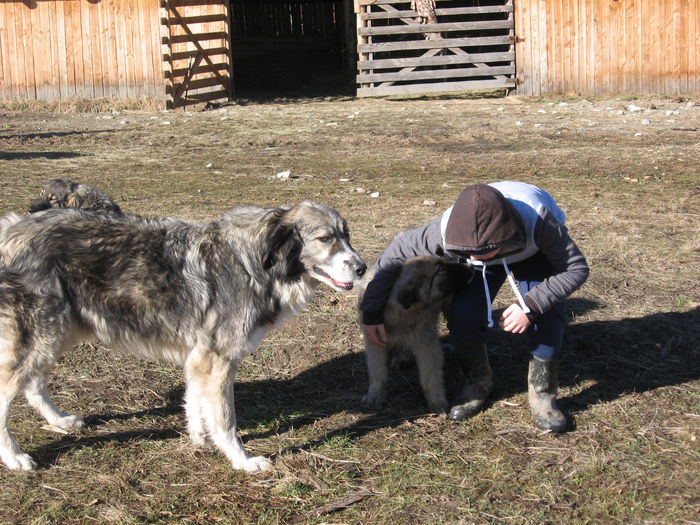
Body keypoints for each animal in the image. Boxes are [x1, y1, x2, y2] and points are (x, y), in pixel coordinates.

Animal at [0, 200, 370, 470]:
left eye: (347, 236)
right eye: (325, 239)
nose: (362, 267)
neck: (253, 262)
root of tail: (11, 228)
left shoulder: (199, 358)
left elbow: (195, 402)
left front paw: (198, 439)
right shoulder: (217, 360)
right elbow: (225, 420)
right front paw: (242, 461)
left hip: (56, 333)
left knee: (34, 383)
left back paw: (60, 421)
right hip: (42, 335)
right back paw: (15, 458)